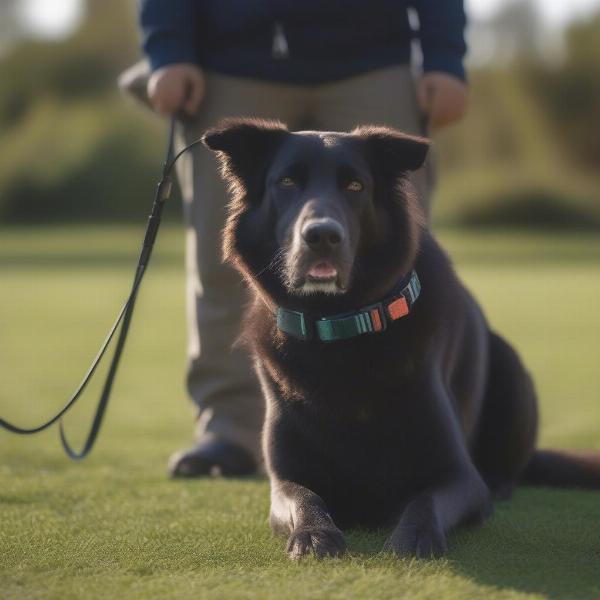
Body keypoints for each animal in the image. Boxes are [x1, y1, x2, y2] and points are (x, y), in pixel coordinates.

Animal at [203, 119, 600, 560]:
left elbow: (424, 500)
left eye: (355, 185)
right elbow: (303, 497)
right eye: (287, 181)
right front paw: (314, 533)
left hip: (512, 371)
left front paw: (414, 536)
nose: (321, 236)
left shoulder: (460, 477)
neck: (338, 329)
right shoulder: (283, 479)